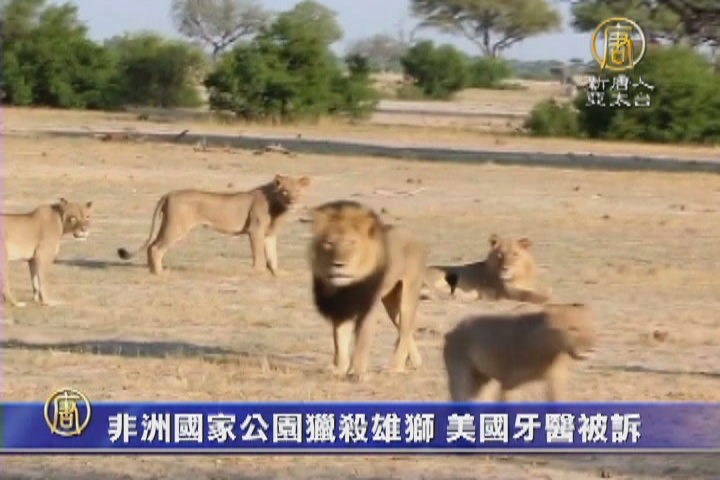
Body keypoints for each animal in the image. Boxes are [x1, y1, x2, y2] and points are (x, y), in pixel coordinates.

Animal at [117, 174, 311, 275]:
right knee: (156, 248)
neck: (278, 208)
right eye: (285, 192)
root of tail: (169, 193)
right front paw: (260, 271)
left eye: (297, 191)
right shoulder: (255, 230)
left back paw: (153, 270)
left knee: (151, 246)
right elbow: (259, 255)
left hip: (168, 224)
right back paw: (160, 272)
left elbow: (273, 255)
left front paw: (277, 273)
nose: (293, 202)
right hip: (176, 227)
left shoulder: (270, 235)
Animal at [308, 200, 428, 382]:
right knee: (405, 329)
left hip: (408, 293)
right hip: (391, 301)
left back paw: (396, 367)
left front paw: (358, 372)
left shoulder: (368, 308)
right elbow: (339, 341)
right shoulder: (340, 308)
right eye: (329, 243)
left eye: (351, 242)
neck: (347, 287)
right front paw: (339, 369)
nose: (338, 264)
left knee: (405, 329)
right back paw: (415, 361)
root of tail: (414, 235)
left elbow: (362, 342)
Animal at [421, 234, 549, 304]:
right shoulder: (509, 291)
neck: (519, 274)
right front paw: (549, 299)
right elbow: (529, 295)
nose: (505, 269)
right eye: (500, 255)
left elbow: (538, 291)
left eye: (515, 254)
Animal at [442, 303, 595, 402]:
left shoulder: (556, 381)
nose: (590, 350)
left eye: (590, 327)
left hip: (482, 380)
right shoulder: (509, 385)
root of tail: (453, 330)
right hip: (461, 378)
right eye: (573, 329)